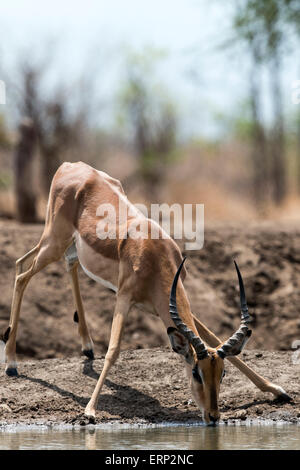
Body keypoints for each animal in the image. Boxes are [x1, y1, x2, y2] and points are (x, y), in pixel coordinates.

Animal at [2, 162, 290, 426]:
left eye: (221, 373)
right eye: (196, 372)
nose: (213, 416)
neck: (153, 254)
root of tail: (70, 166)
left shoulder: (169, 304)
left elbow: (213, 336)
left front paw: (277, 390)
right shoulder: (124, 298)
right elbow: (114, 349)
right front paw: (90, 411)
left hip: (66, 247)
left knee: (46, 264)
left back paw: (86, 347)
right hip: (53, 242)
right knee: (21, 275)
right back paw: (12, 364)